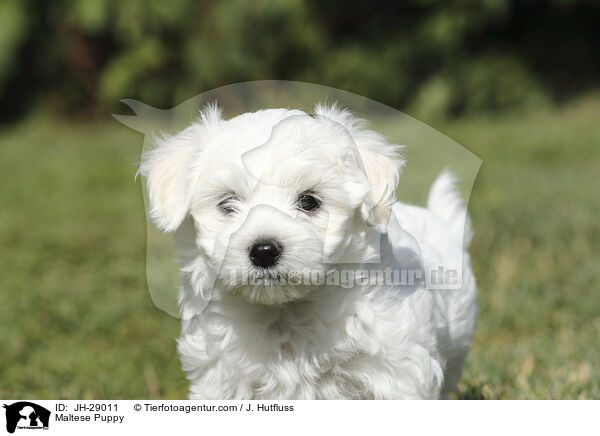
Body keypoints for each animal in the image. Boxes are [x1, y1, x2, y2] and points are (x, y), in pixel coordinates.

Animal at [138, 102, 476, 398]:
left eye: (309, 201)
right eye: (227, 203)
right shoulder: (222, 378)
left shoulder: (396, 370)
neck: (286, 313)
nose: (264, 250)